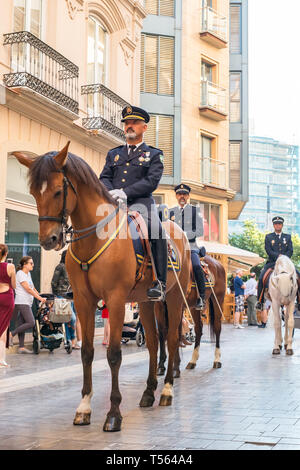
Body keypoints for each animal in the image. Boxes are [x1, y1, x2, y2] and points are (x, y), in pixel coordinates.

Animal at [13, 143, 190, 434]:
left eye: (58, 191)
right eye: (33, 193)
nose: (49, 239)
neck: (94, 237)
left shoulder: (115, 300)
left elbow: (114, 354)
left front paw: (114, 414)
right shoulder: (84, 300)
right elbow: (87, 352)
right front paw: (84, 408)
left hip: (174, 297)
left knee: (173, 339)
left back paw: (166, 391)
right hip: (145, 301)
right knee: (153, 343)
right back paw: (148, 392)